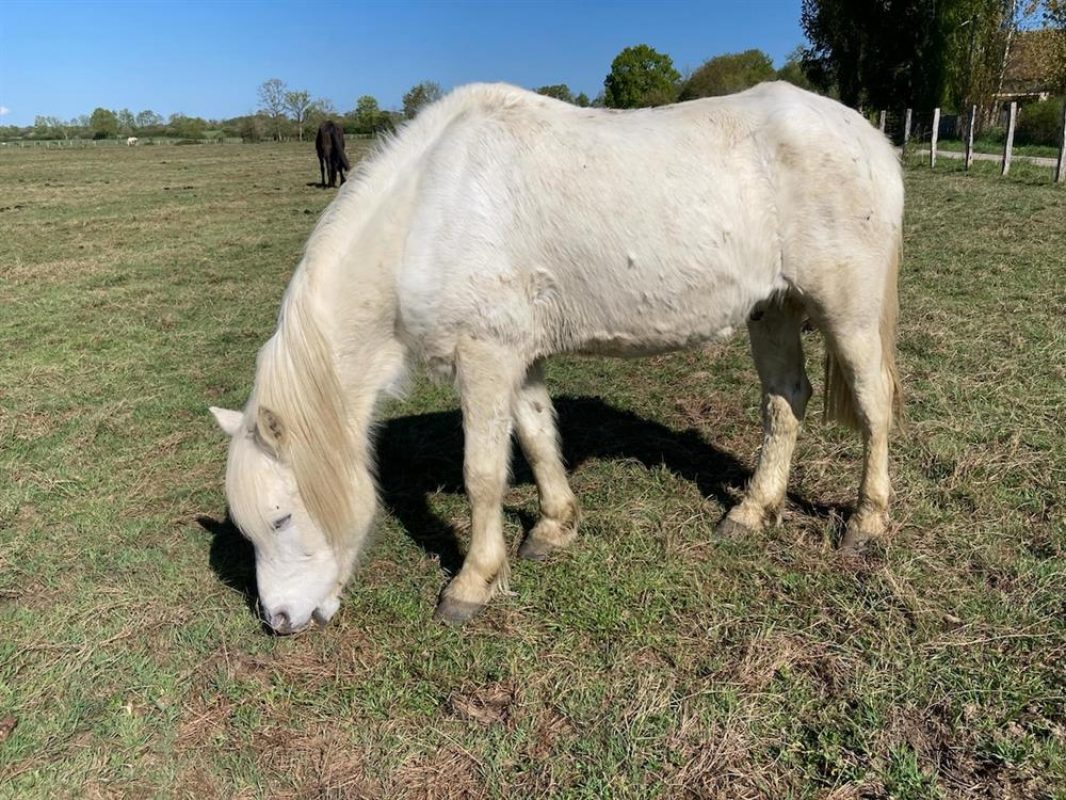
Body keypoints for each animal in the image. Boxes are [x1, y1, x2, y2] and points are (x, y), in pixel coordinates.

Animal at [212, 82, 903, 634]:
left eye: (280, 519)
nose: (280, 619)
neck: (430, 211)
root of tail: (870, 139)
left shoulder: (485, 360)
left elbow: (482, 474)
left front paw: (473, 582)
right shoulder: (518, 358)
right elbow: (539, 436)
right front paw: (554, 527)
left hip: (846, 310)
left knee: (874, 403)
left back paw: (867, 522)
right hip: (775, 308)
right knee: (785, 401)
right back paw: (753, 511)